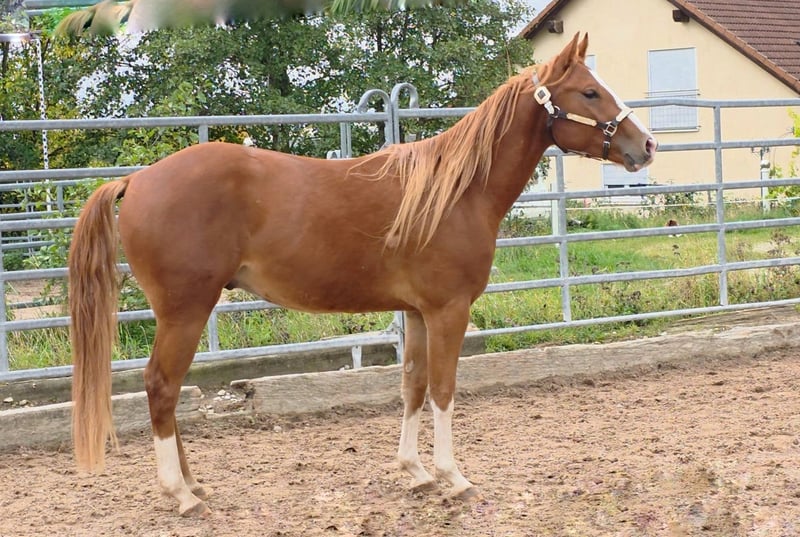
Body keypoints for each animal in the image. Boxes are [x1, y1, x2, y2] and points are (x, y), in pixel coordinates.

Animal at [68, 32, 657, 516]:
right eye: (588, 92)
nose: (646, 146)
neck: (457, 192)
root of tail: (139, 179)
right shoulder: (449, 311)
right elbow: (444, 388)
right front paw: (454, 477)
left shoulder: (417, 313)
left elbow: (413, 385)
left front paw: (415, 472)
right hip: (185, 311)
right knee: (161, 386)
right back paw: (181, 494)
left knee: (168, 391)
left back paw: (194, 485)